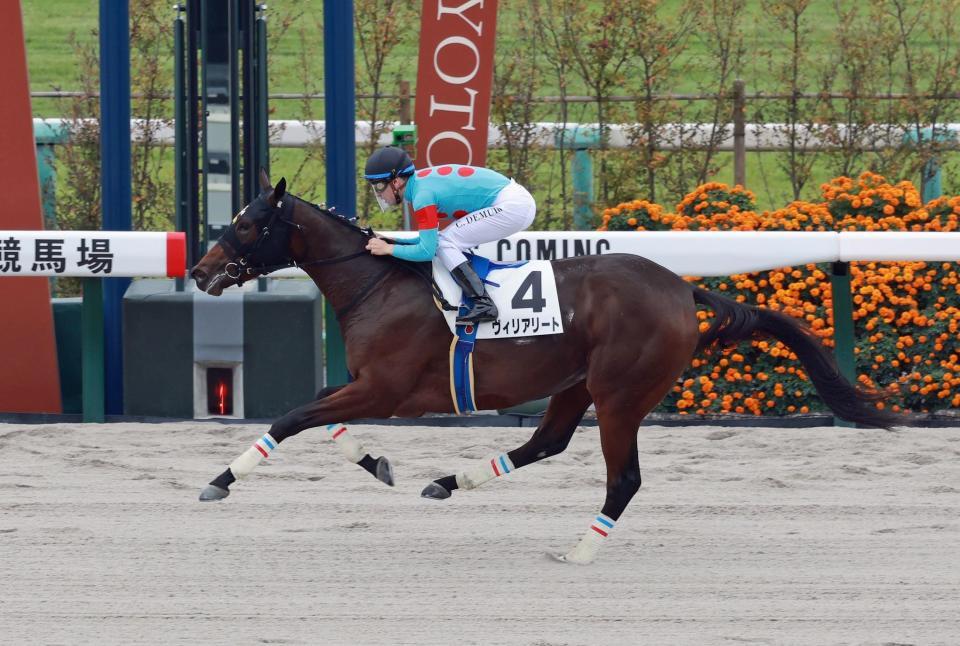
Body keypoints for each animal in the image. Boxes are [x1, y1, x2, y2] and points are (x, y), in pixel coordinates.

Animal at [191, 170, 904, 564]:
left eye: (248, 225)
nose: (199, 272)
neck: (377, 285)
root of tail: (682, 288)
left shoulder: (387, 390)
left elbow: (293, 417)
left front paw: (219, 481)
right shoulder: (368, 385)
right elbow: (316, 411)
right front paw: (380, 465)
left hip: (621, 395)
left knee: (623, 479)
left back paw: (580, 550)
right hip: (575, 384)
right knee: (547, 441)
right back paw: (449, 482)